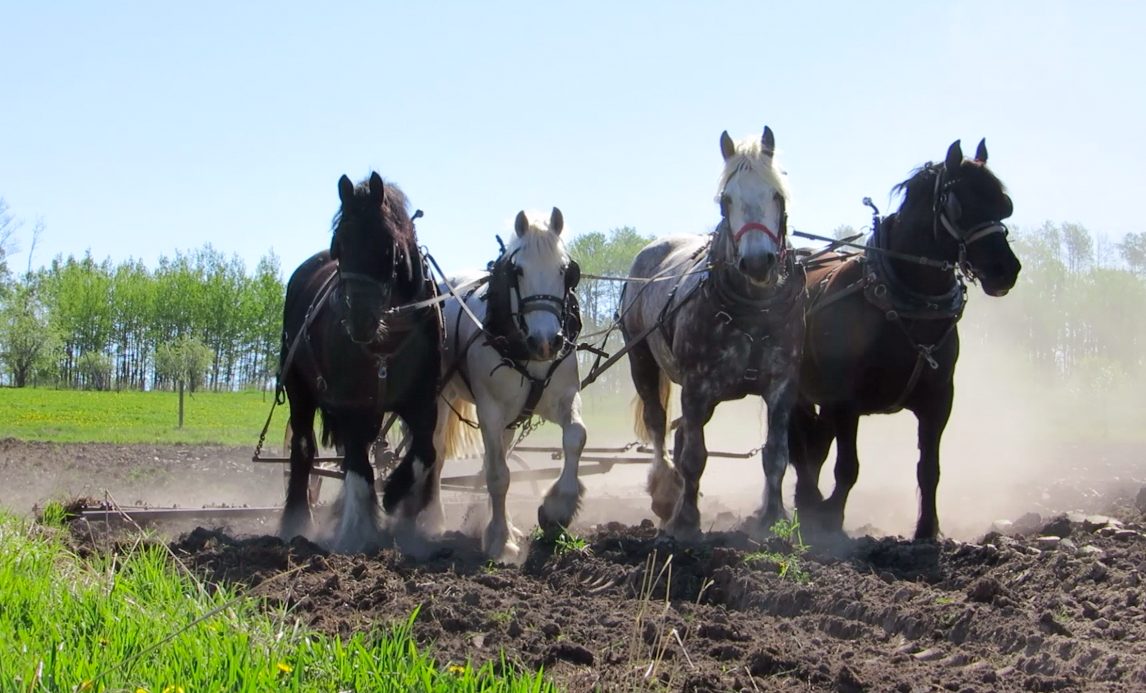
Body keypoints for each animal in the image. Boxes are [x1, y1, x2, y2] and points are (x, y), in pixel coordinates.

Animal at [278, 172, 443, 553]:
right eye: (339, 245)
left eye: (386, 245)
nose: (359, 321)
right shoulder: (352, 404)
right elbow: (357, 465)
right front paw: (357, 531)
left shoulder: (422, 402)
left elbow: (424, 454)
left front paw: (395, 496)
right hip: (299, 390)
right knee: (304, 449)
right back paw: (297, 522)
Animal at [432, 208, 586, 560]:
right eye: (518, 270)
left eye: (565, 270)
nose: (546, 342)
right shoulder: (489, 411)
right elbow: (499, 475)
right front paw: (500, 540)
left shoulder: (564, 397)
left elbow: (575, 437)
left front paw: (558, 509)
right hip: (441, 398)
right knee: (436, 453)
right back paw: (431, 518)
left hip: (512, 419)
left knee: (496, 453)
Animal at [619, 127, 805, 540]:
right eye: (726, 200)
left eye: (777, 194)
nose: (757, 262)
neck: (752, 310)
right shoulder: (696, 385)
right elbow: (694, 457)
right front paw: (686, 521)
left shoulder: (782, 385)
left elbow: (776, 453)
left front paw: (773, 518)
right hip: (642, 361)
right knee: (660, 425)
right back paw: (665, 493)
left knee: (682, 431)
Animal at [790, 139, 1021, 540]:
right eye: (959, 204)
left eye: (1003, 205)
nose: (1005, 270)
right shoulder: (846, 401)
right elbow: (847, 467)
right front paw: (832, 519)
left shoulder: (939, 400)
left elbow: (929, 470)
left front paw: (927, 529)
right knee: (795, 447)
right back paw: (795, 504)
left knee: (813, 445)